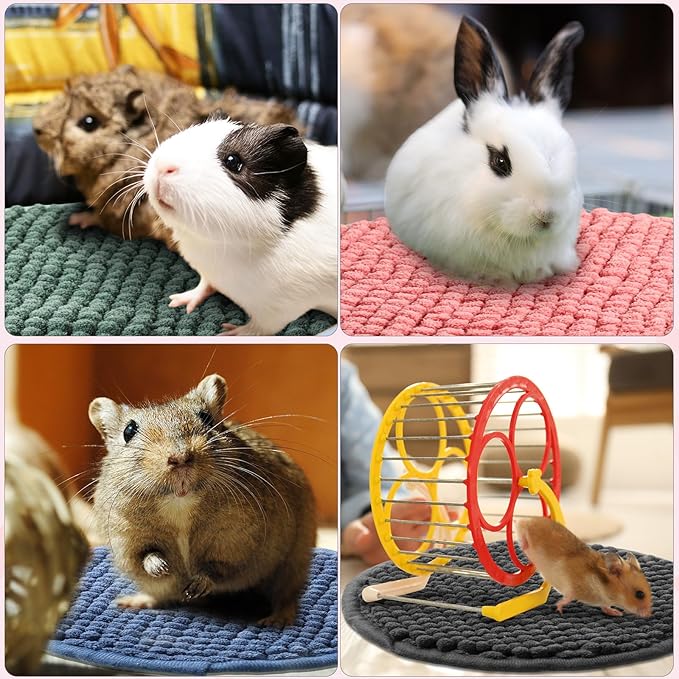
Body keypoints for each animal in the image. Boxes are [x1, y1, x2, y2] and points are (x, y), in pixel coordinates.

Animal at [89, 374, 317, 627]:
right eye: (129, 431)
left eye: (206, 417)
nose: (179, 457)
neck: (180, 502)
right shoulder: (127, 539)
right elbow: (145, 556)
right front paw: (162, 567)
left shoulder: (236, 542)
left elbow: (217, 568)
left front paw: (196, 585)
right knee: (159, 596)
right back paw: (134, 601)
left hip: (293, 563)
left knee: (287, 595)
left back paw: (277, 619)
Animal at [143, 118, 338, 335]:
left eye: (233, 161)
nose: (163, 166)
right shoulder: (208, 273)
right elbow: (205, 284)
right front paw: (178, 301)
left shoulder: (280, 310)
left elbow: (259, 328)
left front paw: (228, 332)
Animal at [516, 517, 652, 618]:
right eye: (639, 594)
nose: (649, 615)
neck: (600, 586)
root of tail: (527, 519)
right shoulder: (571, 587)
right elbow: (568, 598)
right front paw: (559, 609)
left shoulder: (603, 600)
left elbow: (605, 607)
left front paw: (617, 613)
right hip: (526, 532)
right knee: (523, 536)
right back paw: (523, 541)